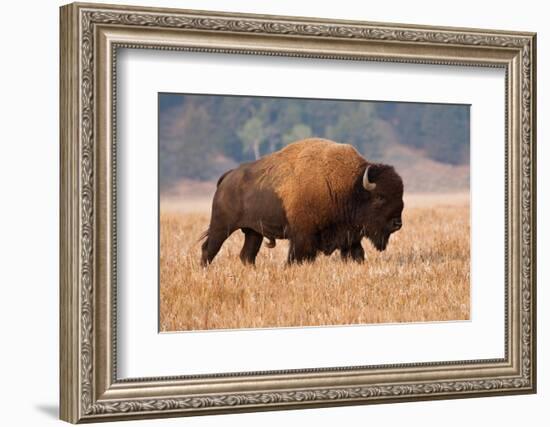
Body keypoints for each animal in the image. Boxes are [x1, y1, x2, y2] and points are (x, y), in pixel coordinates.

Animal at [201, 139, 404, 266]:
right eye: (380, 197)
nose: (397, 224)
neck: (349, 187)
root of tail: (228, 176)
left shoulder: (350, 238)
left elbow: (357, 254)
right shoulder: (302, 237)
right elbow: (296, 257)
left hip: (253, 232)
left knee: (247, 256)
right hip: (222, 226)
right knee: (209, 248)